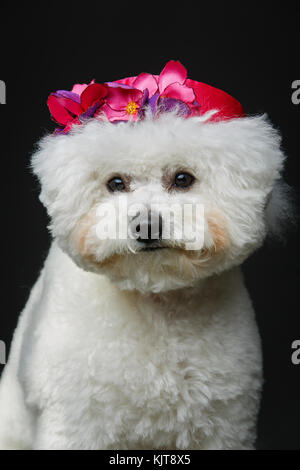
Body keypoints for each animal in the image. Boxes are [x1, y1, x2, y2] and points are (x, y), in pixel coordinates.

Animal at [0, 69, 290, 448]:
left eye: (182, 179)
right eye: (115, 183)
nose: (146, 225)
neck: (156, 304)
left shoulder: (223, 425)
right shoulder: (76, 423)